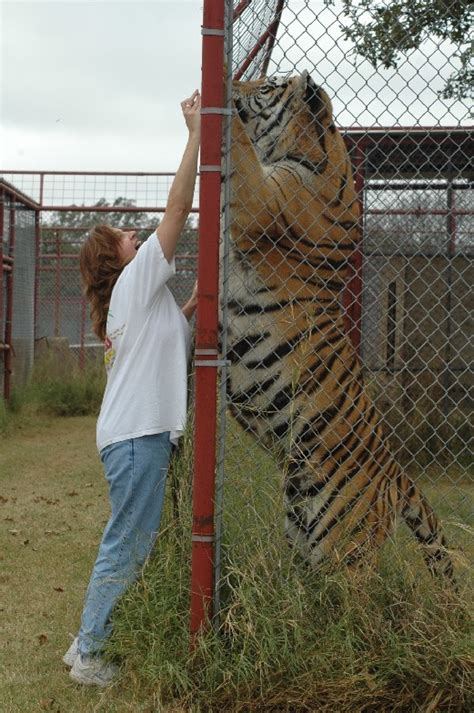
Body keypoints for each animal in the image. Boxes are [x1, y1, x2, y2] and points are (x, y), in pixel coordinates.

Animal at [227, 69, 456, 580]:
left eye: (266, 84)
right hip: (301, 526)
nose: (236, 85)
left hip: (342, 549)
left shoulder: (258, 201)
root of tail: (396, 473)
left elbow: (239, 150)